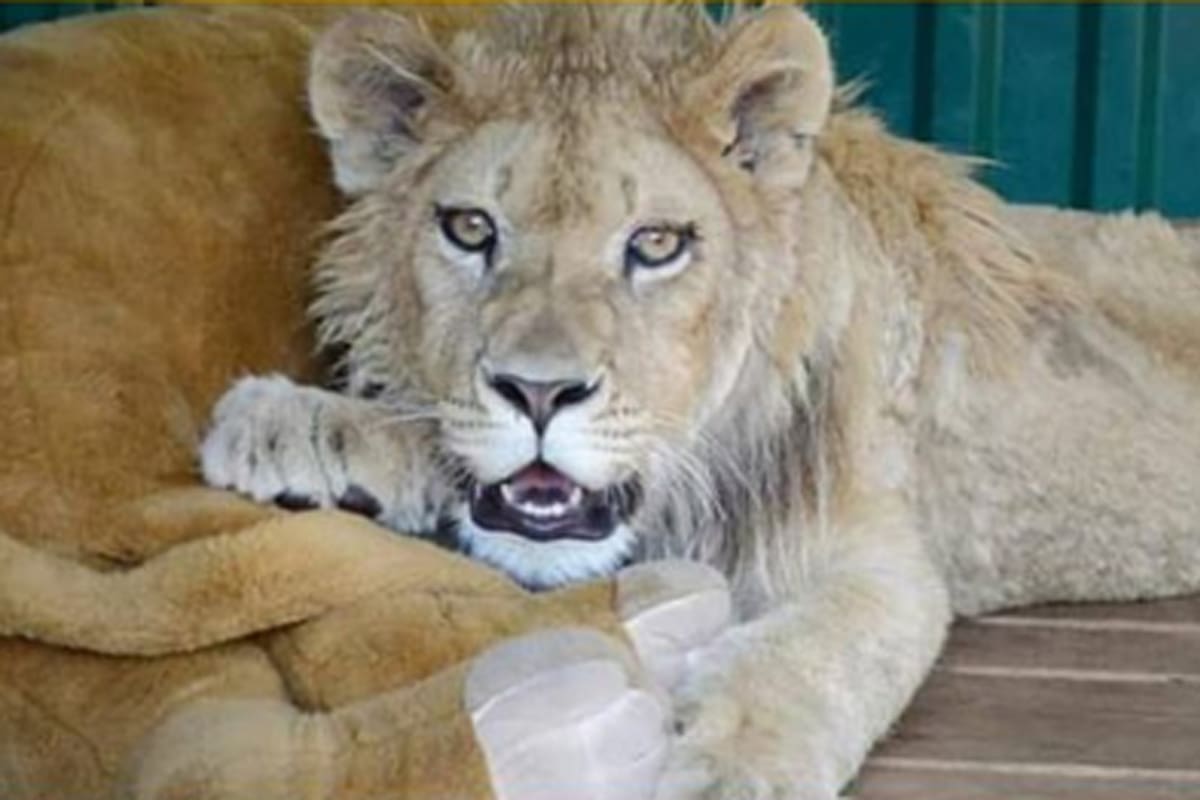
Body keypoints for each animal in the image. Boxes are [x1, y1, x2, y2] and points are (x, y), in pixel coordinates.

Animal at [200, 5, 1200, 798]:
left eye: (657, 244)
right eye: (471, 229)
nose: (539, 390)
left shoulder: (886, 563)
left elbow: (807, 659)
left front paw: (727, 770)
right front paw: (294, 426)